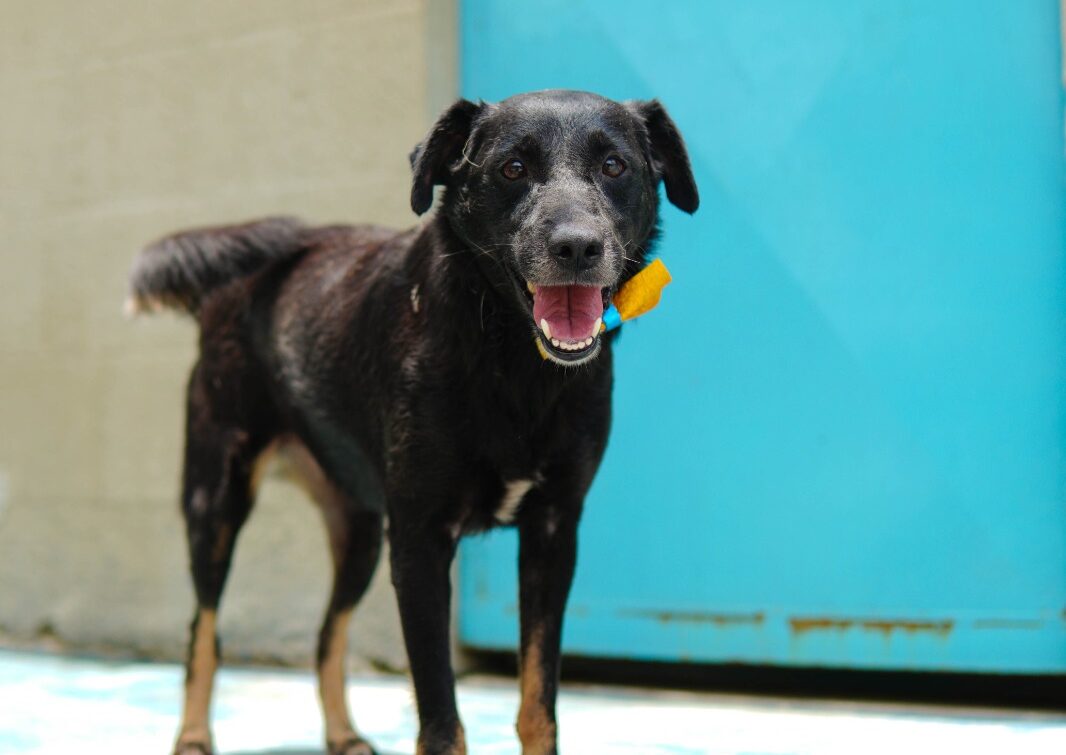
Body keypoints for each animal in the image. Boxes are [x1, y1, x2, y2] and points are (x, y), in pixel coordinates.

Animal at [127, 89, 698, 755]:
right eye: (512, 169)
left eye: (614, 166)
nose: (578, 248)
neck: (508, 357)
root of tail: (229, 286)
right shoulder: (421, 542)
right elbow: (442, 722)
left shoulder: (554, 532)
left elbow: (539, 706)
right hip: (216, 501)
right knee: (204, 628)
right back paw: (194, 735)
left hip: (362, 533)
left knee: (326, 633)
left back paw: (344, 734)